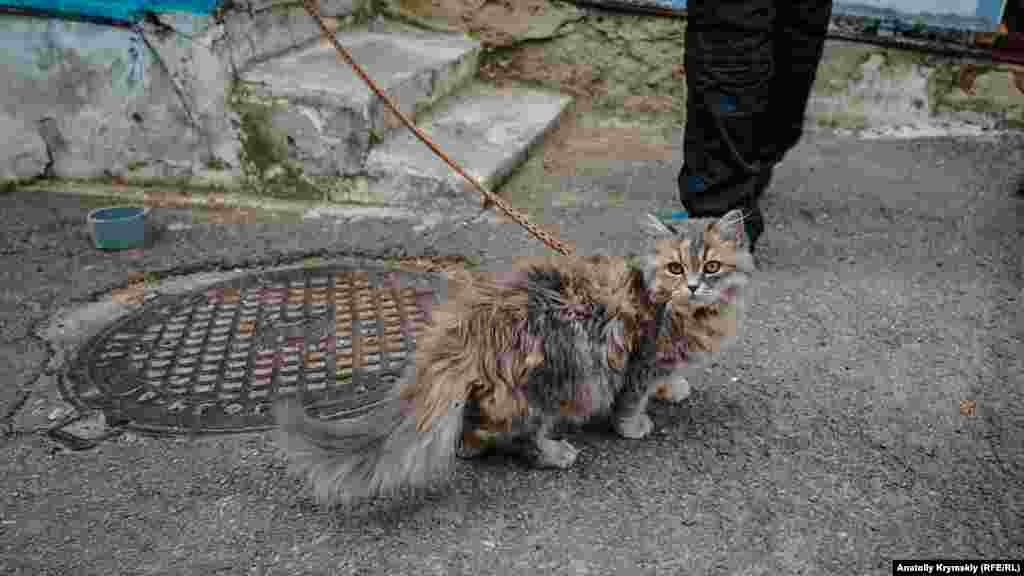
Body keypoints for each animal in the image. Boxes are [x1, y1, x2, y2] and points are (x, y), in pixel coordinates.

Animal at [272, 208, 753, 504]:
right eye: (676, 268)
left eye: (712, 267)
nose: (693, 286)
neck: (689, 313)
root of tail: (474, 319)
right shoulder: (639, 359)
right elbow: (632, 399)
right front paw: (634, 426)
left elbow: (667, 380)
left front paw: (674, 388)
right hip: (558, 380)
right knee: (526, 437)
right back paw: (556, 453)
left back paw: (468, 446)